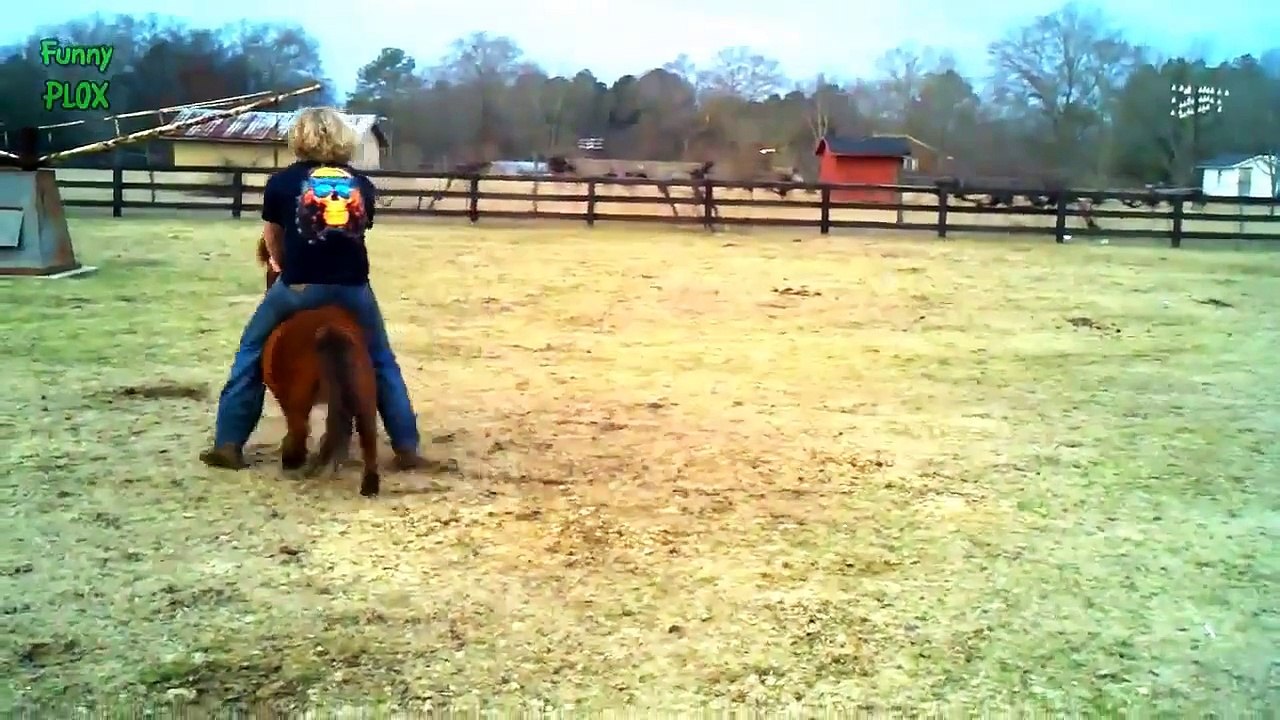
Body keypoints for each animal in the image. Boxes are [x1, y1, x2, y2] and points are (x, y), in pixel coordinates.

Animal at [256, 238, 381, 497]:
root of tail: (329, 328)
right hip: (364, 391)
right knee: (366, 432)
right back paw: (369, 484)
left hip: (298, 397)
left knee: (301, 428)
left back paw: (294, 461)